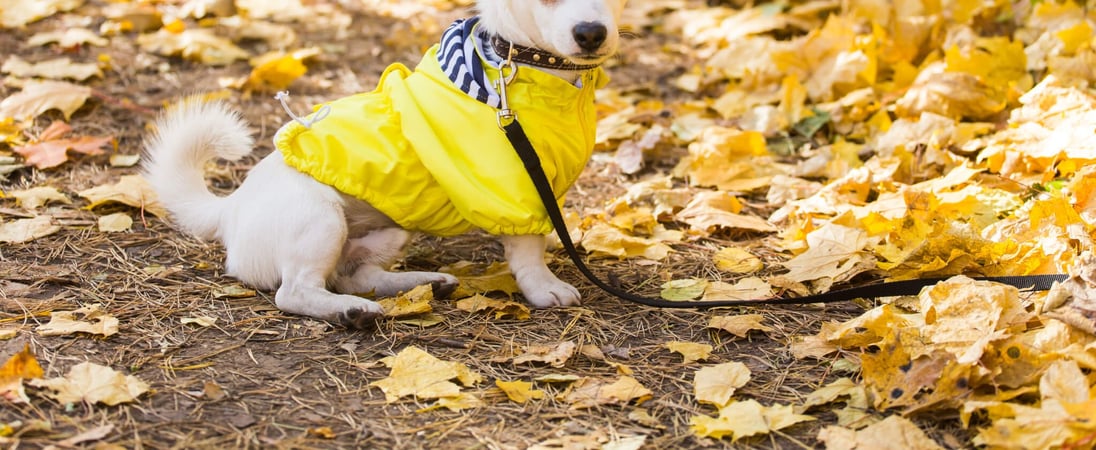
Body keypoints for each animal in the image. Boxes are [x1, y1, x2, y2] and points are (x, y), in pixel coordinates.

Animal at [142, 0, 626, 328]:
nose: (590, 33)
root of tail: (231, 208)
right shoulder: (515, 190)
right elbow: (529, 249)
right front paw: (544, 287)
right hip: (321, 220)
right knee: (296, 292)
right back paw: (350, 312)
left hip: (392, 230)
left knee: (353, 275)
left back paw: (422, 283)